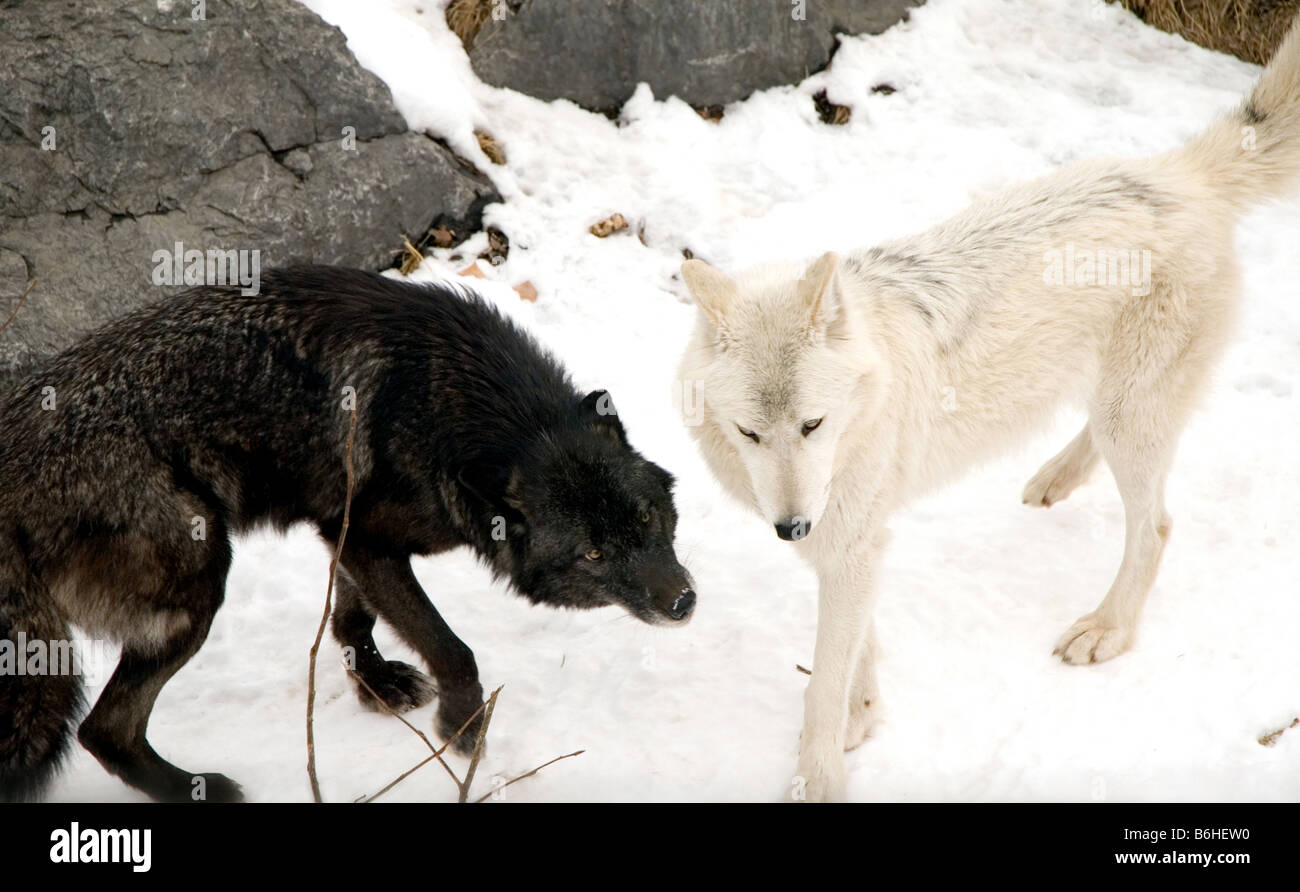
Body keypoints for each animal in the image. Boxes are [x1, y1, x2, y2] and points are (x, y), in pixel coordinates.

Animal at [0, 266, 695, 802]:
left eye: (646, 518)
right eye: (593, 553)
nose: (683, 603)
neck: (453, 408)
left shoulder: (351, 535)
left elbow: (353, 615)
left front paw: (376, 684)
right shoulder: (366, 539)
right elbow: (451, 649)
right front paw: (462, 729)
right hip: (198, 579)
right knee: (103, 728)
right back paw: (193, 789)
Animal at [678, 21, 1300, 801]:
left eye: (811, 425)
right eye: (750, 433)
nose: (790, 528)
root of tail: (1180, 173)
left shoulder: (849, 540)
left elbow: (823, 678)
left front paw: (818, 776)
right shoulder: (851, 541)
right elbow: (857, 649)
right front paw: (862, 719)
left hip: (1131, 416)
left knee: (1155, 526)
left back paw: (1107, 629)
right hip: (1115, 401)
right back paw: (1055, 479)